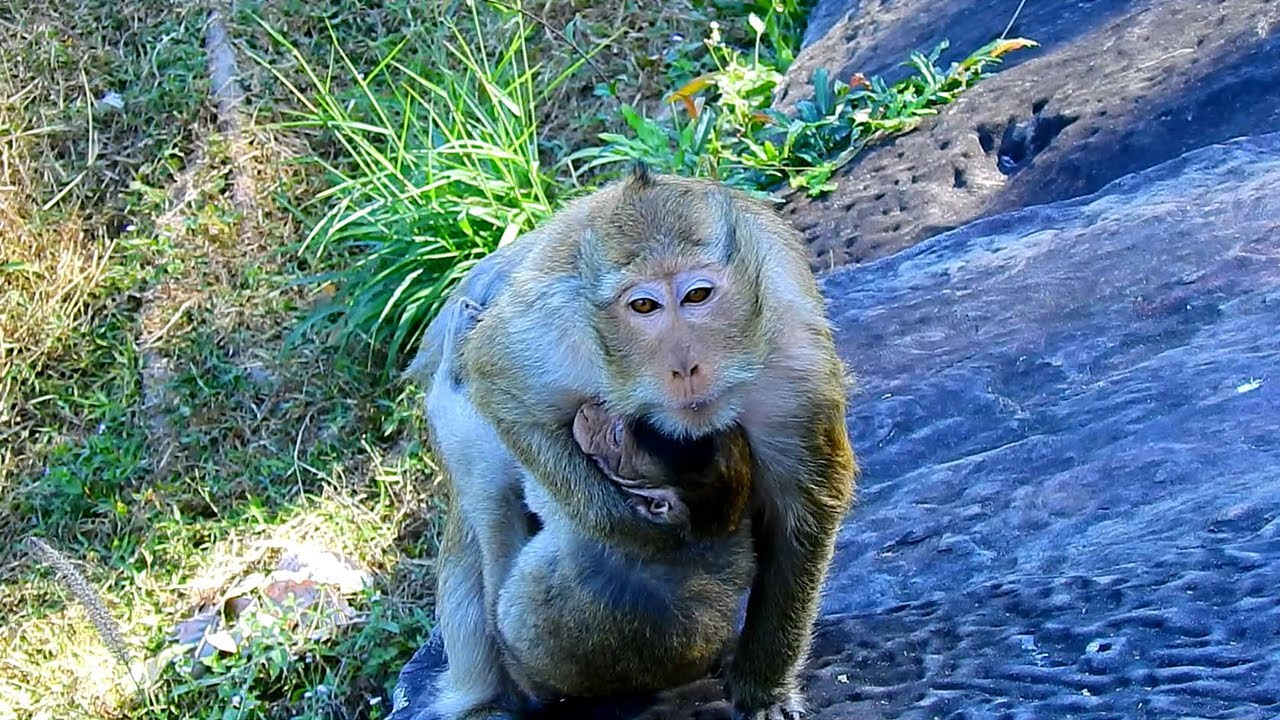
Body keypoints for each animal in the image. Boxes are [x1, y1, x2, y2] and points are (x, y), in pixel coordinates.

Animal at [411, 165, 859, 720]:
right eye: (643, 305)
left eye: (697, 295)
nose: (685, 365)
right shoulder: (550, 330)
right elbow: (501, 384)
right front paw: (641, 533)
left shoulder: (792, 353)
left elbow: (805, 503)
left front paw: (764, 688)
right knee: (487, 491)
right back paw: (486, 695)